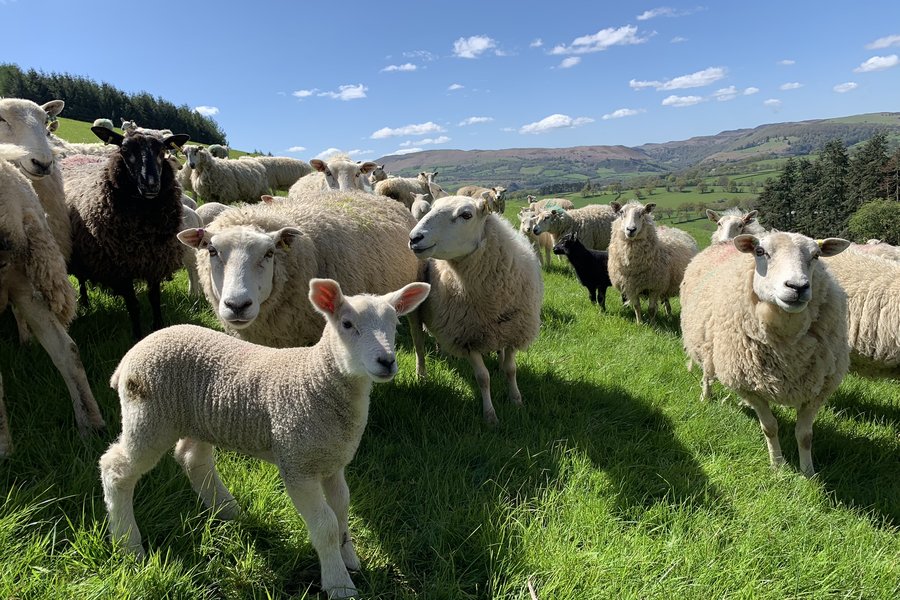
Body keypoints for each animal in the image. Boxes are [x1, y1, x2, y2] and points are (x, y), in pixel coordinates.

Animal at [65, 127, 190, 339]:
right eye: (124, 149)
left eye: (162, 150)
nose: (151, 184)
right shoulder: (120, 267)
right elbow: (133, 305)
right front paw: (138, 336)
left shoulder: (155, 260)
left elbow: (155, 299)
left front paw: (158, 327)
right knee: (81, 278)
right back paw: (85, 301)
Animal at [99, 278, 430, 599]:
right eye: (347, 324)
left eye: (395, 323)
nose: (387, 361)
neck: (317, 379)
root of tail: (129, 357)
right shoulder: (297, 464)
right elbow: (325, 525)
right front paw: (340, 585)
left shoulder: (332, 461)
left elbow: (341, 511)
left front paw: (349, 559)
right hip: (149, 416)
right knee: (116, 469)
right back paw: (129, 545)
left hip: (197, 419)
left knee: (193, 459)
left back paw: (228, 510)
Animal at [408, 195, 543, 424]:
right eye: (431, 208)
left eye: (466, 215)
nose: (414, 238)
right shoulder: (467, 337)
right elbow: (483, 378)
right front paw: (490, 415)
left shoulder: (514, 330)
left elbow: (511, 370)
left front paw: (516, 401)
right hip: (419, 313)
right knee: (419, 346)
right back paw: (422, 375)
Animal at [680, 233, 851, 476]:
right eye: (760, 252)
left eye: (816, 255)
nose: (798, 287)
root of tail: (726, 242)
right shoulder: (750, 387)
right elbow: (770, 427)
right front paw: (777, 466)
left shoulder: (818, 388)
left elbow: (805, 435)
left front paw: (808, 472)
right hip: (705, 343)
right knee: (706, 373)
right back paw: (706, 396)